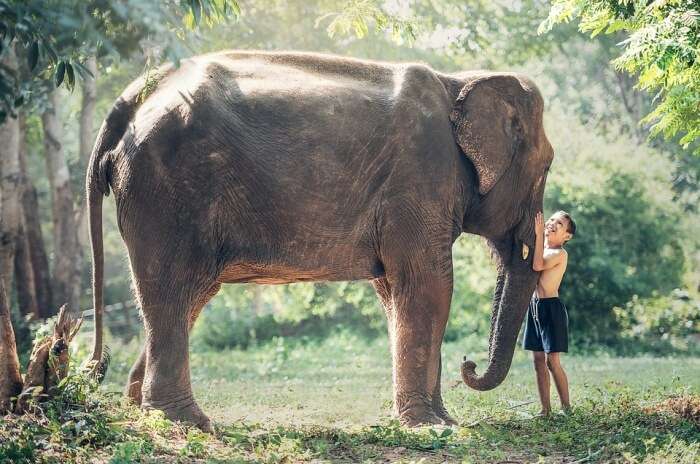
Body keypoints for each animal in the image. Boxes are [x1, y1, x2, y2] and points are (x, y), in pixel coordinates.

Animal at [85, 50, 552, 432]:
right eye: (547, 166)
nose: (469, 364)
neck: (459, 81)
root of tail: (132, 97)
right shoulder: (419, 179)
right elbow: (429, 286)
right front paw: (433, 427)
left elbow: (394, 292)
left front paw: (440, 421)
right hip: (167, 190)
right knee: (174, 287)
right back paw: (188, 423)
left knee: (190, 295)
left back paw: (140, 409)